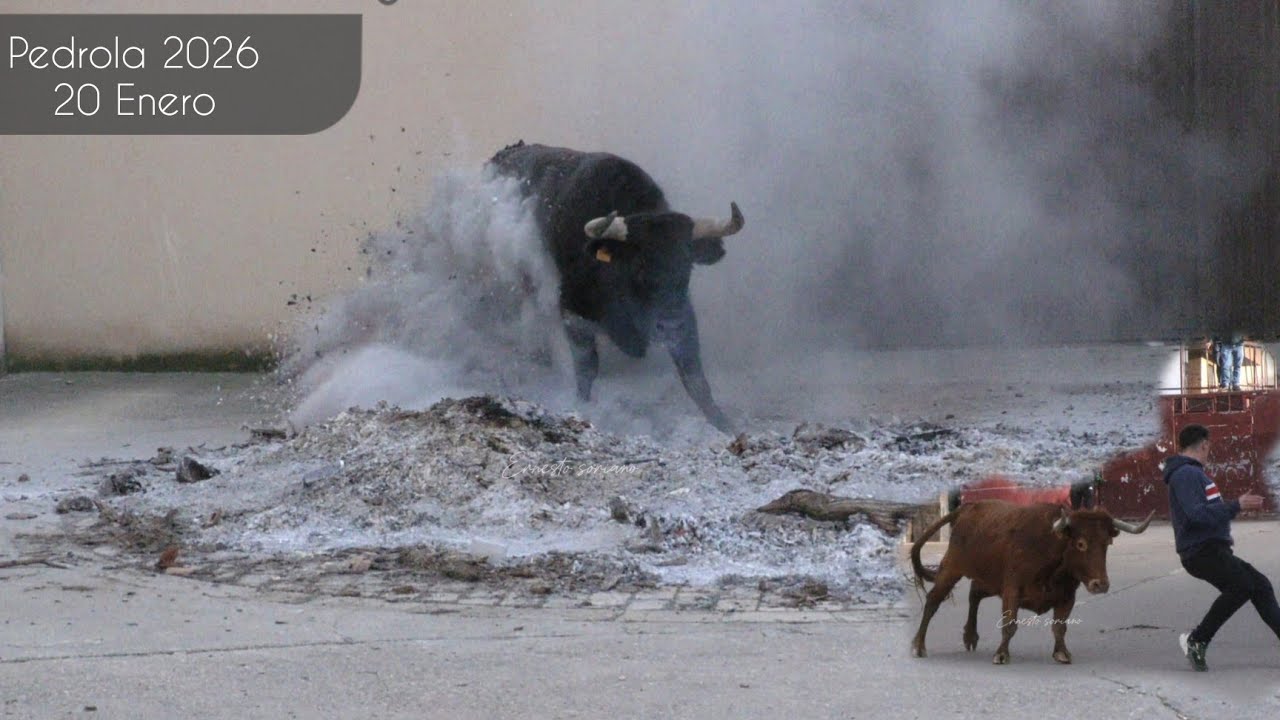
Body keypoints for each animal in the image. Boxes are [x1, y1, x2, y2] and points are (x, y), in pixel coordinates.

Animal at [487, 141, 743, 433]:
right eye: (639, 267)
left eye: (687, 266)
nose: (669, 325)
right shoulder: (573, 314)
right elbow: (586, 369)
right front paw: (583, 407)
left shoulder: (685, 319)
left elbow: (696, 379)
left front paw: (725, 424)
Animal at [910, 500, 1154, 664]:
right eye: (1081, 543)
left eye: (1107, 543)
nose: (1100, 584)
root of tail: (968, 507)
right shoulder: (1011, 589)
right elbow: (1010, 625)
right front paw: (1001, 654)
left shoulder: (1067, 596)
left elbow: (1059, 627)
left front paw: (1062, 653)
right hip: (951, 568)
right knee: (933, 601)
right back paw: (918, 646)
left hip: (988, 578)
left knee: (974, 594)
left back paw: (970, 636)